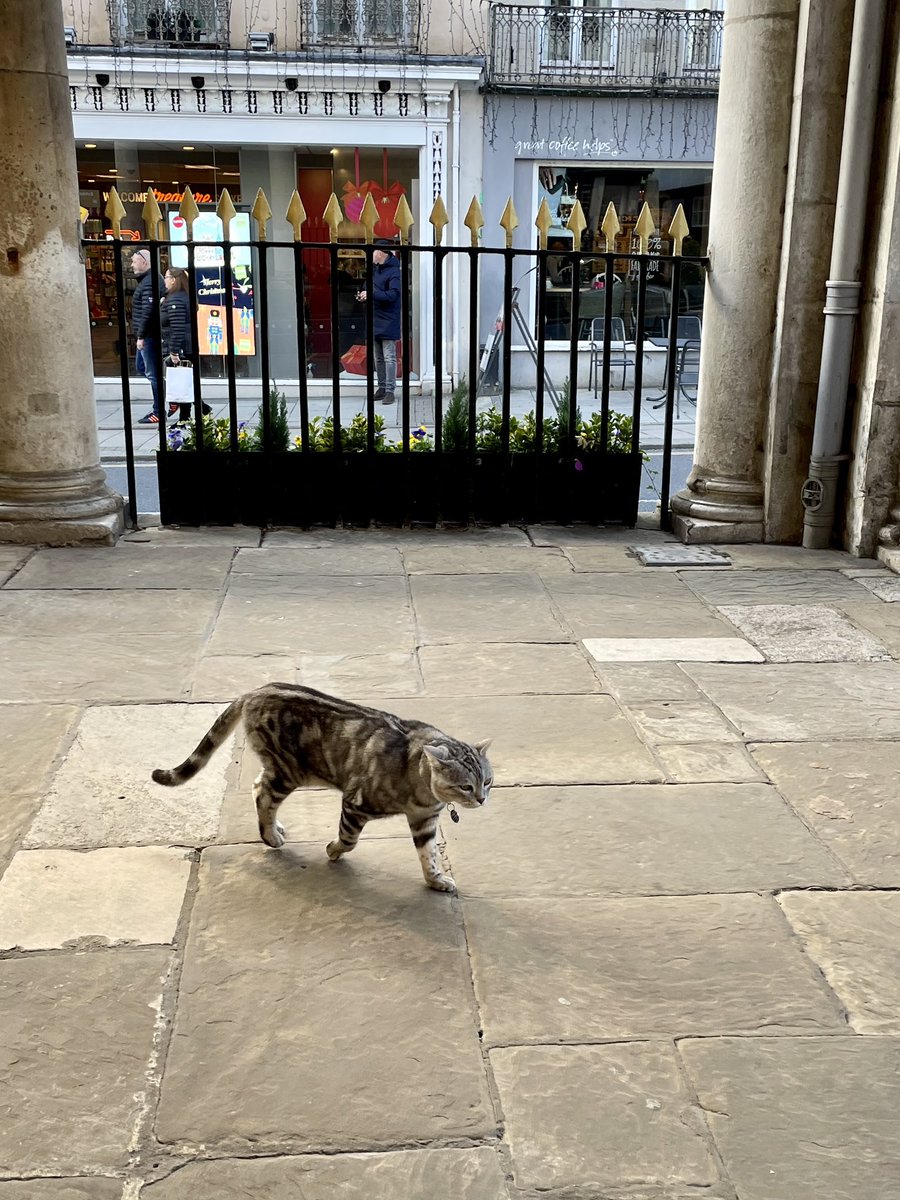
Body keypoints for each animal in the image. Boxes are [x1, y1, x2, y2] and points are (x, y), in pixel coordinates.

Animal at [153, 686, 494, 892]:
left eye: (487, 782)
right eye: (465, 785)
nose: (481, 799)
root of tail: (254, 692)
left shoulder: (424, 820)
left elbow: (429, 854)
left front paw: (435, 880)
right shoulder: (356, 802)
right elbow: (349, 839)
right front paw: (333, 850)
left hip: (281, 769)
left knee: (257, 786)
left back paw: (274, 828)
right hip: (289, 771)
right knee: (263, 794)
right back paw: (270, 836)